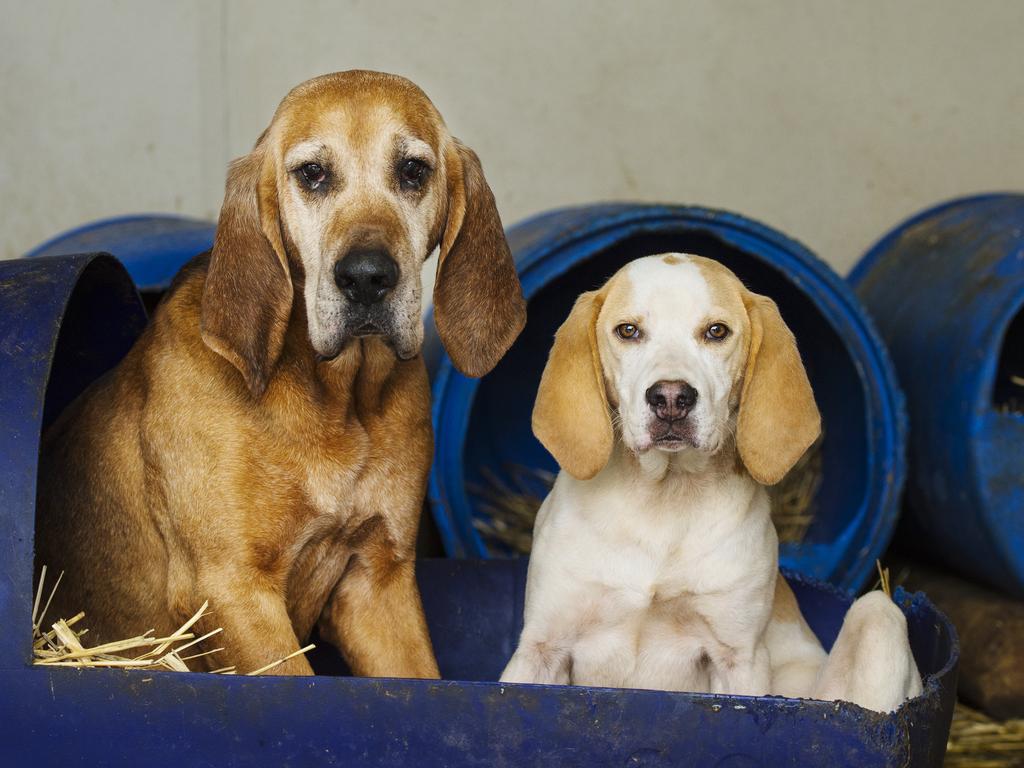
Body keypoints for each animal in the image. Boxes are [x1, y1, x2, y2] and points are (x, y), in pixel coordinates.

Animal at [35, 70, 524, 671]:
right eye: (312, 173)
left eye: (413, 170)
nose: (366, 277)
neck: (339, 399)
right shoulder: (232, 590)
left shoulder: (378, 582)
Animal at [499, 253, 925, 716]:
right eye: (628, 331)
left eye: (716, 331)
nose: (670, 398)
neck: (661, 501)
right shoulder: (540, 650)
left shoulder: (738, 660)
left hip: (878, 611)